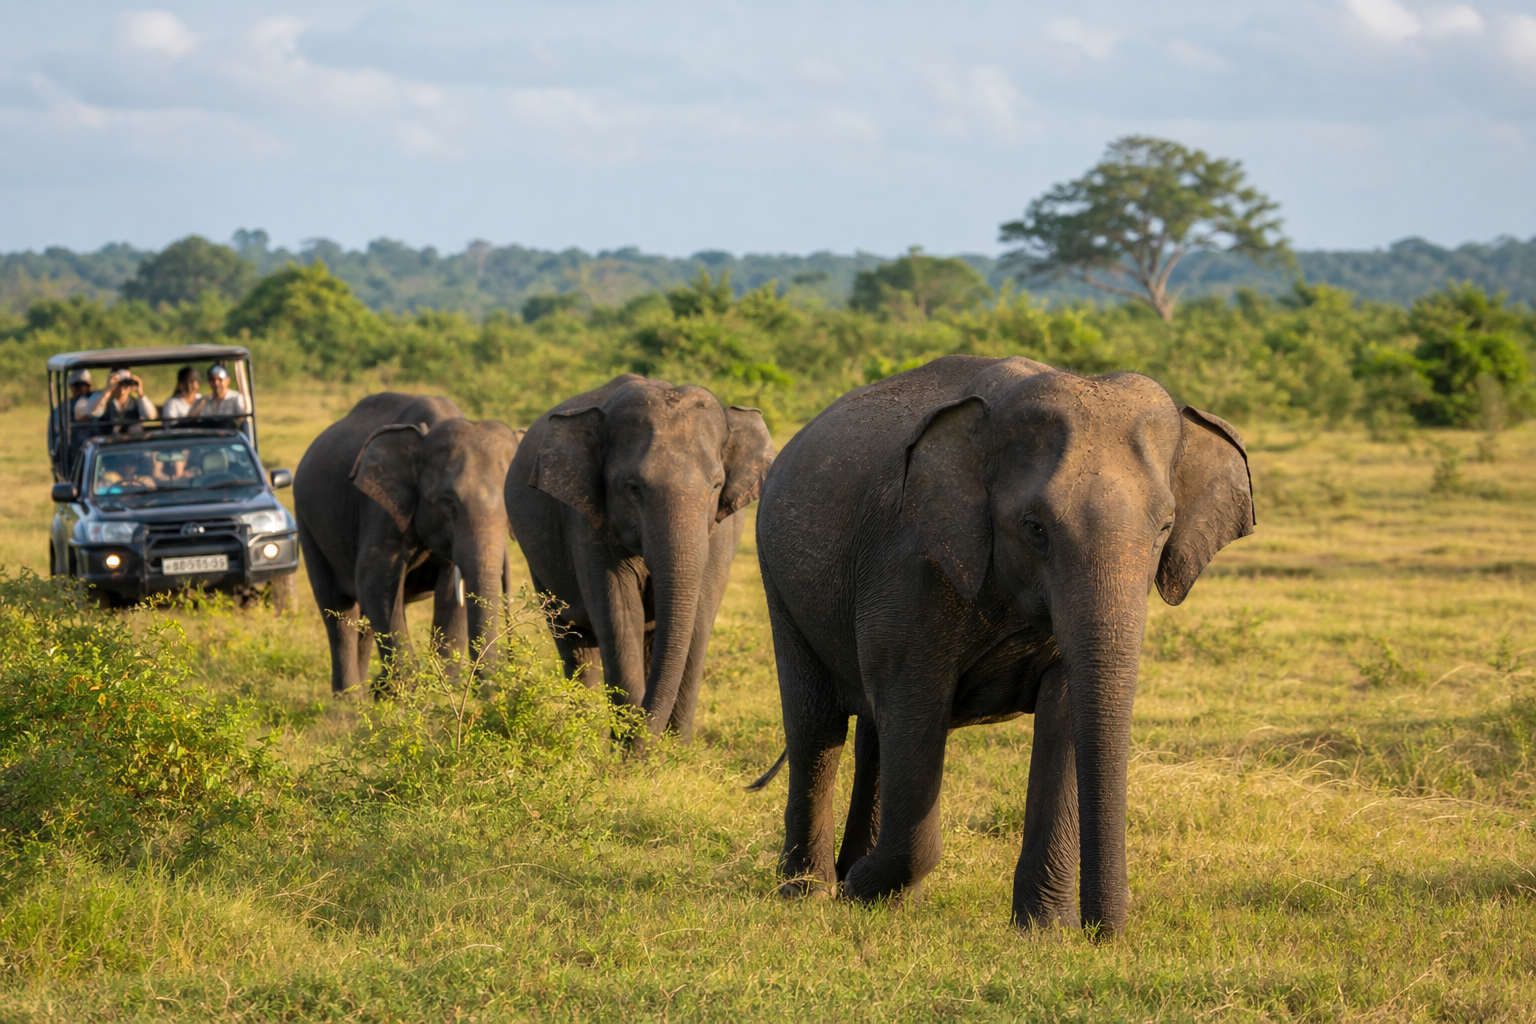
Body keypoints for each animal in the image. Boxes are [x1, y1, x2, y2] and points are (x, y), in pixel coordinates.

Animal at [294, 392, 519, 694]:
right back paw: (351, 700)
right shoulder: (382, 506)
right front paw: (411, 697)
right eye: (448, 503)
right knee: (339, 609)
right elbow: (375, 585)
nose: (488, 692)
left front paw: (438, 693)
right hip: (307, 523)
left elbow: (451, 596)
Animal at [507, 374, 775, 741]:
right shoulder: (587, 520)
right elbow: (621, 616)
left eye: (716, 485)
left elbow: (698, 621)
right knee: (572, 639)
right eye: (633, 488)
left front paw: (674, 752)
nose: (646, 740)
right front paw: (630, 750)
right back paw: (584, 738)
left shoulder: (722, 531)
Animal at [752, 355, 1253, 936]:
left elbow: (1063, 716)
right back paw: (810, 892)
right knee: (817, 725)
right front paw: (859, 888)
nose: (1103, 935)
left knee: (873, 732)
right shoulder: (908, 566)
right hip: (778, 577)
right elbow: (914, 705)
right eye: (1034, 527)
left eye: (1165, 527)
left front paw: (1044, 933)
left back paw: (880, 896)